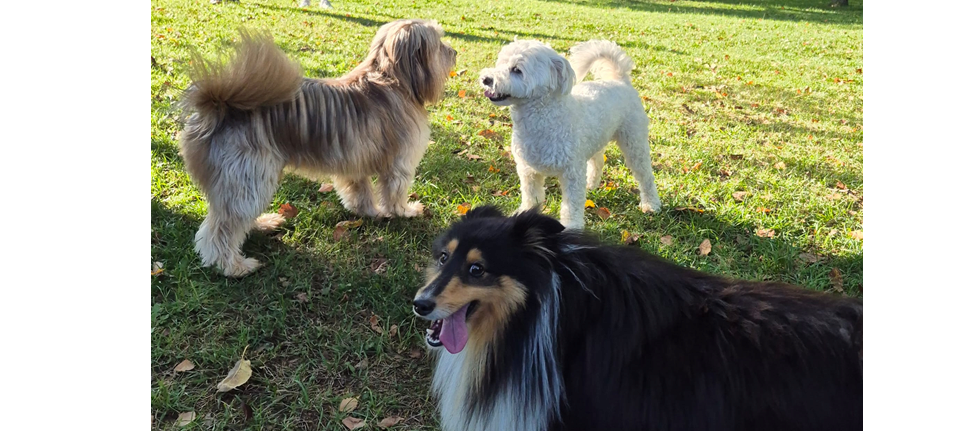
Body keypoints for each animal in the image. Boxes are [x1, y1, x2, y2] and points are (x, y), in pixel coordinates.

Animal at [179, 20, 456, 277]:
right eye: (439, 43)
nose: (454, 52)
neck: (393, 79)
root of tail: (219, 104)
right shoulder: (400, 164)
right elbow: (395, 193)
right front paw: (406, 212)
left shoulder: (354, 163)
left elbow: (360, 191)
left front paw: (368, 212)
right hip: (247, 177)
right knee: (221, 230)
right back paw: (233, 266)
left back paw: (263, 224)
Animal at [478, 40, 661, 229]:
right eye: (500, 63)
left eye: (516, 70)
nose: (486, 79)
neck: (544, 118)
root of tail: (620, 80)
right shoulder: (528, 171)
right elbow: (531, 197)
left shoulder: (572, 173)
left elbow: (571, 206)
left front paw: (571, 228)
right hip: (595, 139)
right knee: (597, 161)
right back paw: (591, 184)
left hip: (634, 142)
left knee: (645, 175)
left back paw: (651, 203)